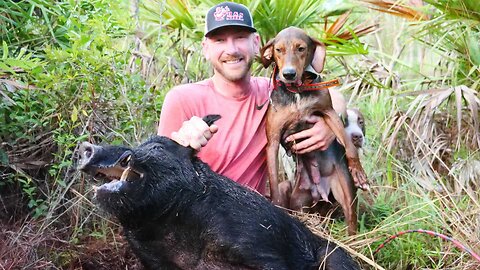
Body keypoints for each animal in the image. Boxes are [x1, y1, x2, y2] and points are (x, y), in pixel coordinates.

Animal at [260, 26, 370, 234]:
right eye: (278, 50)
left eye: (301, 48)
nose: (288, 73)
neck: (297, 93)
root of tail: (320, 191)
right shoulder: (272, 141)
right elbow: (273, 180)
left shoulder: (329, 112)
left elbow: (348, 144)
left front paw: (358, 170)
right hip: (297, 198)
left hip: (346, 195)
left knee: (351, 222)